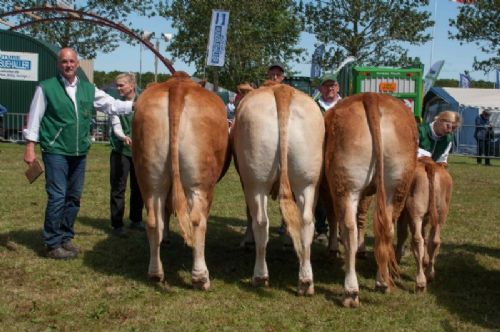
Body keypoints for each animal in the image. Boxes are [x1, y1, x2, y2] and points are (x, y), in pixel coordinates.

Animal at [131, 71, 229, 290]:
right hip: (201, 182)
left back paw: (155, 272)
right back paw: (201, 277)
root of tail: (178, 86)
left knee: (153, 220)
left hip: (149, 178)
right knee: (197, 220)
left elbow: (167, 210)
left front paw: (166, 238)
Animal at [230, 81, 324, 294]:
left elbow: (249, 214)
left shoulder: (244, 181)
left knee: (261, 221)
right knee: (306, 221)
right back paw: (306, 281)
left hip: (256, 181)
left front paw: (247, 241)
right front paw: (288, 241)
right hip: (308, 181)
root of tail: (281, 90)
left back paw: (260, 276)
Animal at [322, 92, 416, 308]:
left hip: (345, 186)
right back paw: (382, 281)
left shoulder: (327, 189)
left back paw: (351, 291)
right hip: (396, 186)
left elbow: (334, 217)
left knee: (349, 229)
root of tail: (371, 96)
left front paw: (333, 249)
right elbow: (362, 216)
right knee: (387, 228)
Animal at [394, 157, 454, 292]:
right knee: (435, 240)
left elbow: (402, 234)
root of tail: (429, 165)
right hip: (440, 214)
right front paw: (425, 260)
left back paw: (420, 282)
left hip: (415, 212)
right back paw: (430, 274)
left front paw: (397, 259)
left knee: (417, 240)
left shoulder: (403, 213)